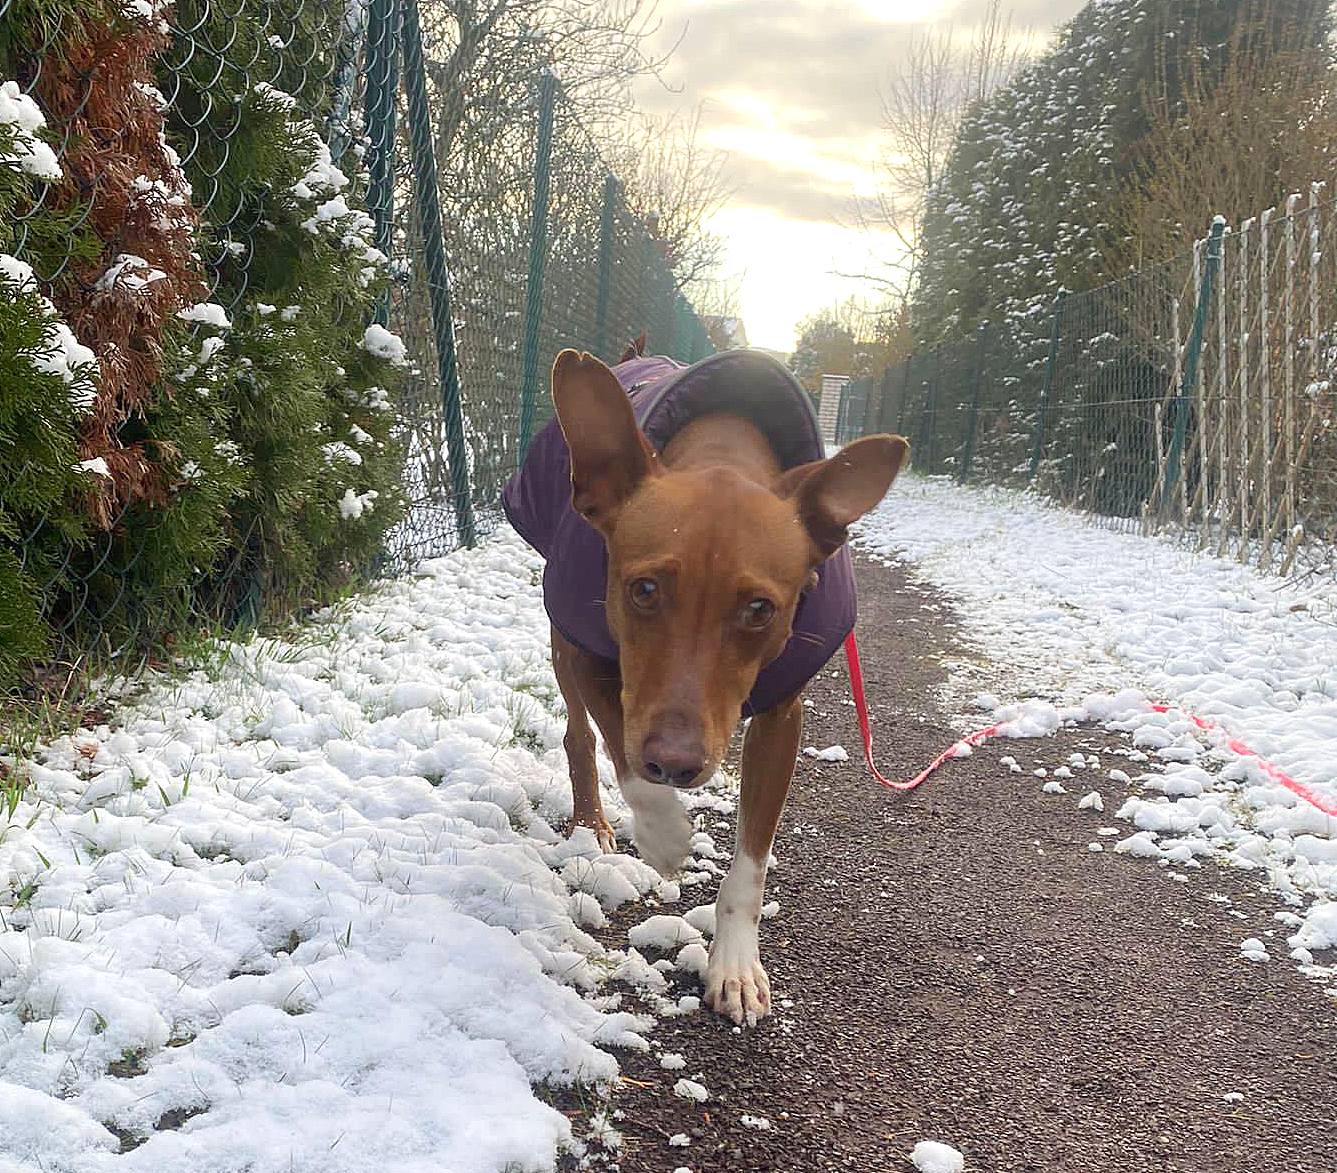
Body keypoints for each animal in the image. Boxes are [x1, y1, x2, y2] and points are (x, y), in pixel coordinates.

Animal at [503, 346, 908, 1025]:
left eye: (760, 609)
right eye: (643, 590)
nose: (678, 762)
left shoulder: (781, 718)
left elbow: (750, 865)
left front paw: (736, 966)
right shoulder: (592, 656)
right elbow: (624, 752)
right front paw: (666, 836)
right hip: (562, 640)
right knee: (580, 737)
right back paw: (595, 821)